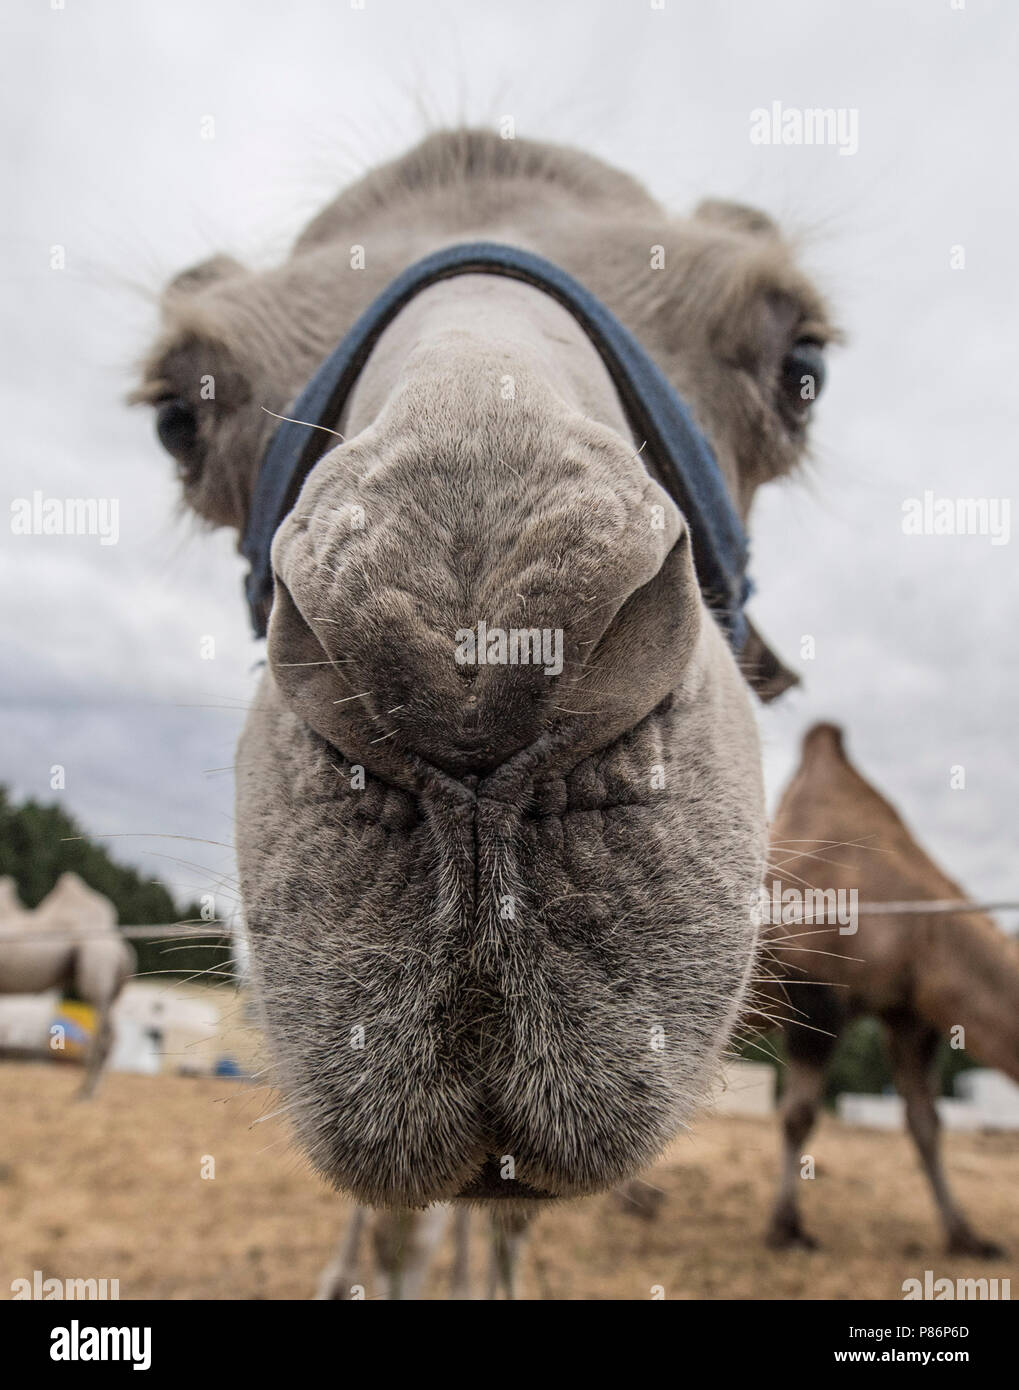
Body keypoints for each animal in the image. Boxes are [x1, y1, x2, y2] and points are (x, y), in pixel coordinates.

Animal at [761, 728, 1012, 1262]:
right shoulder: (816, 993)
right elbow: (798, 1115)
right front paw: (785, 1229)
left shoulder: (907, 1013)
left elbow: (926, 1123)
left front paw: (966, 1237)